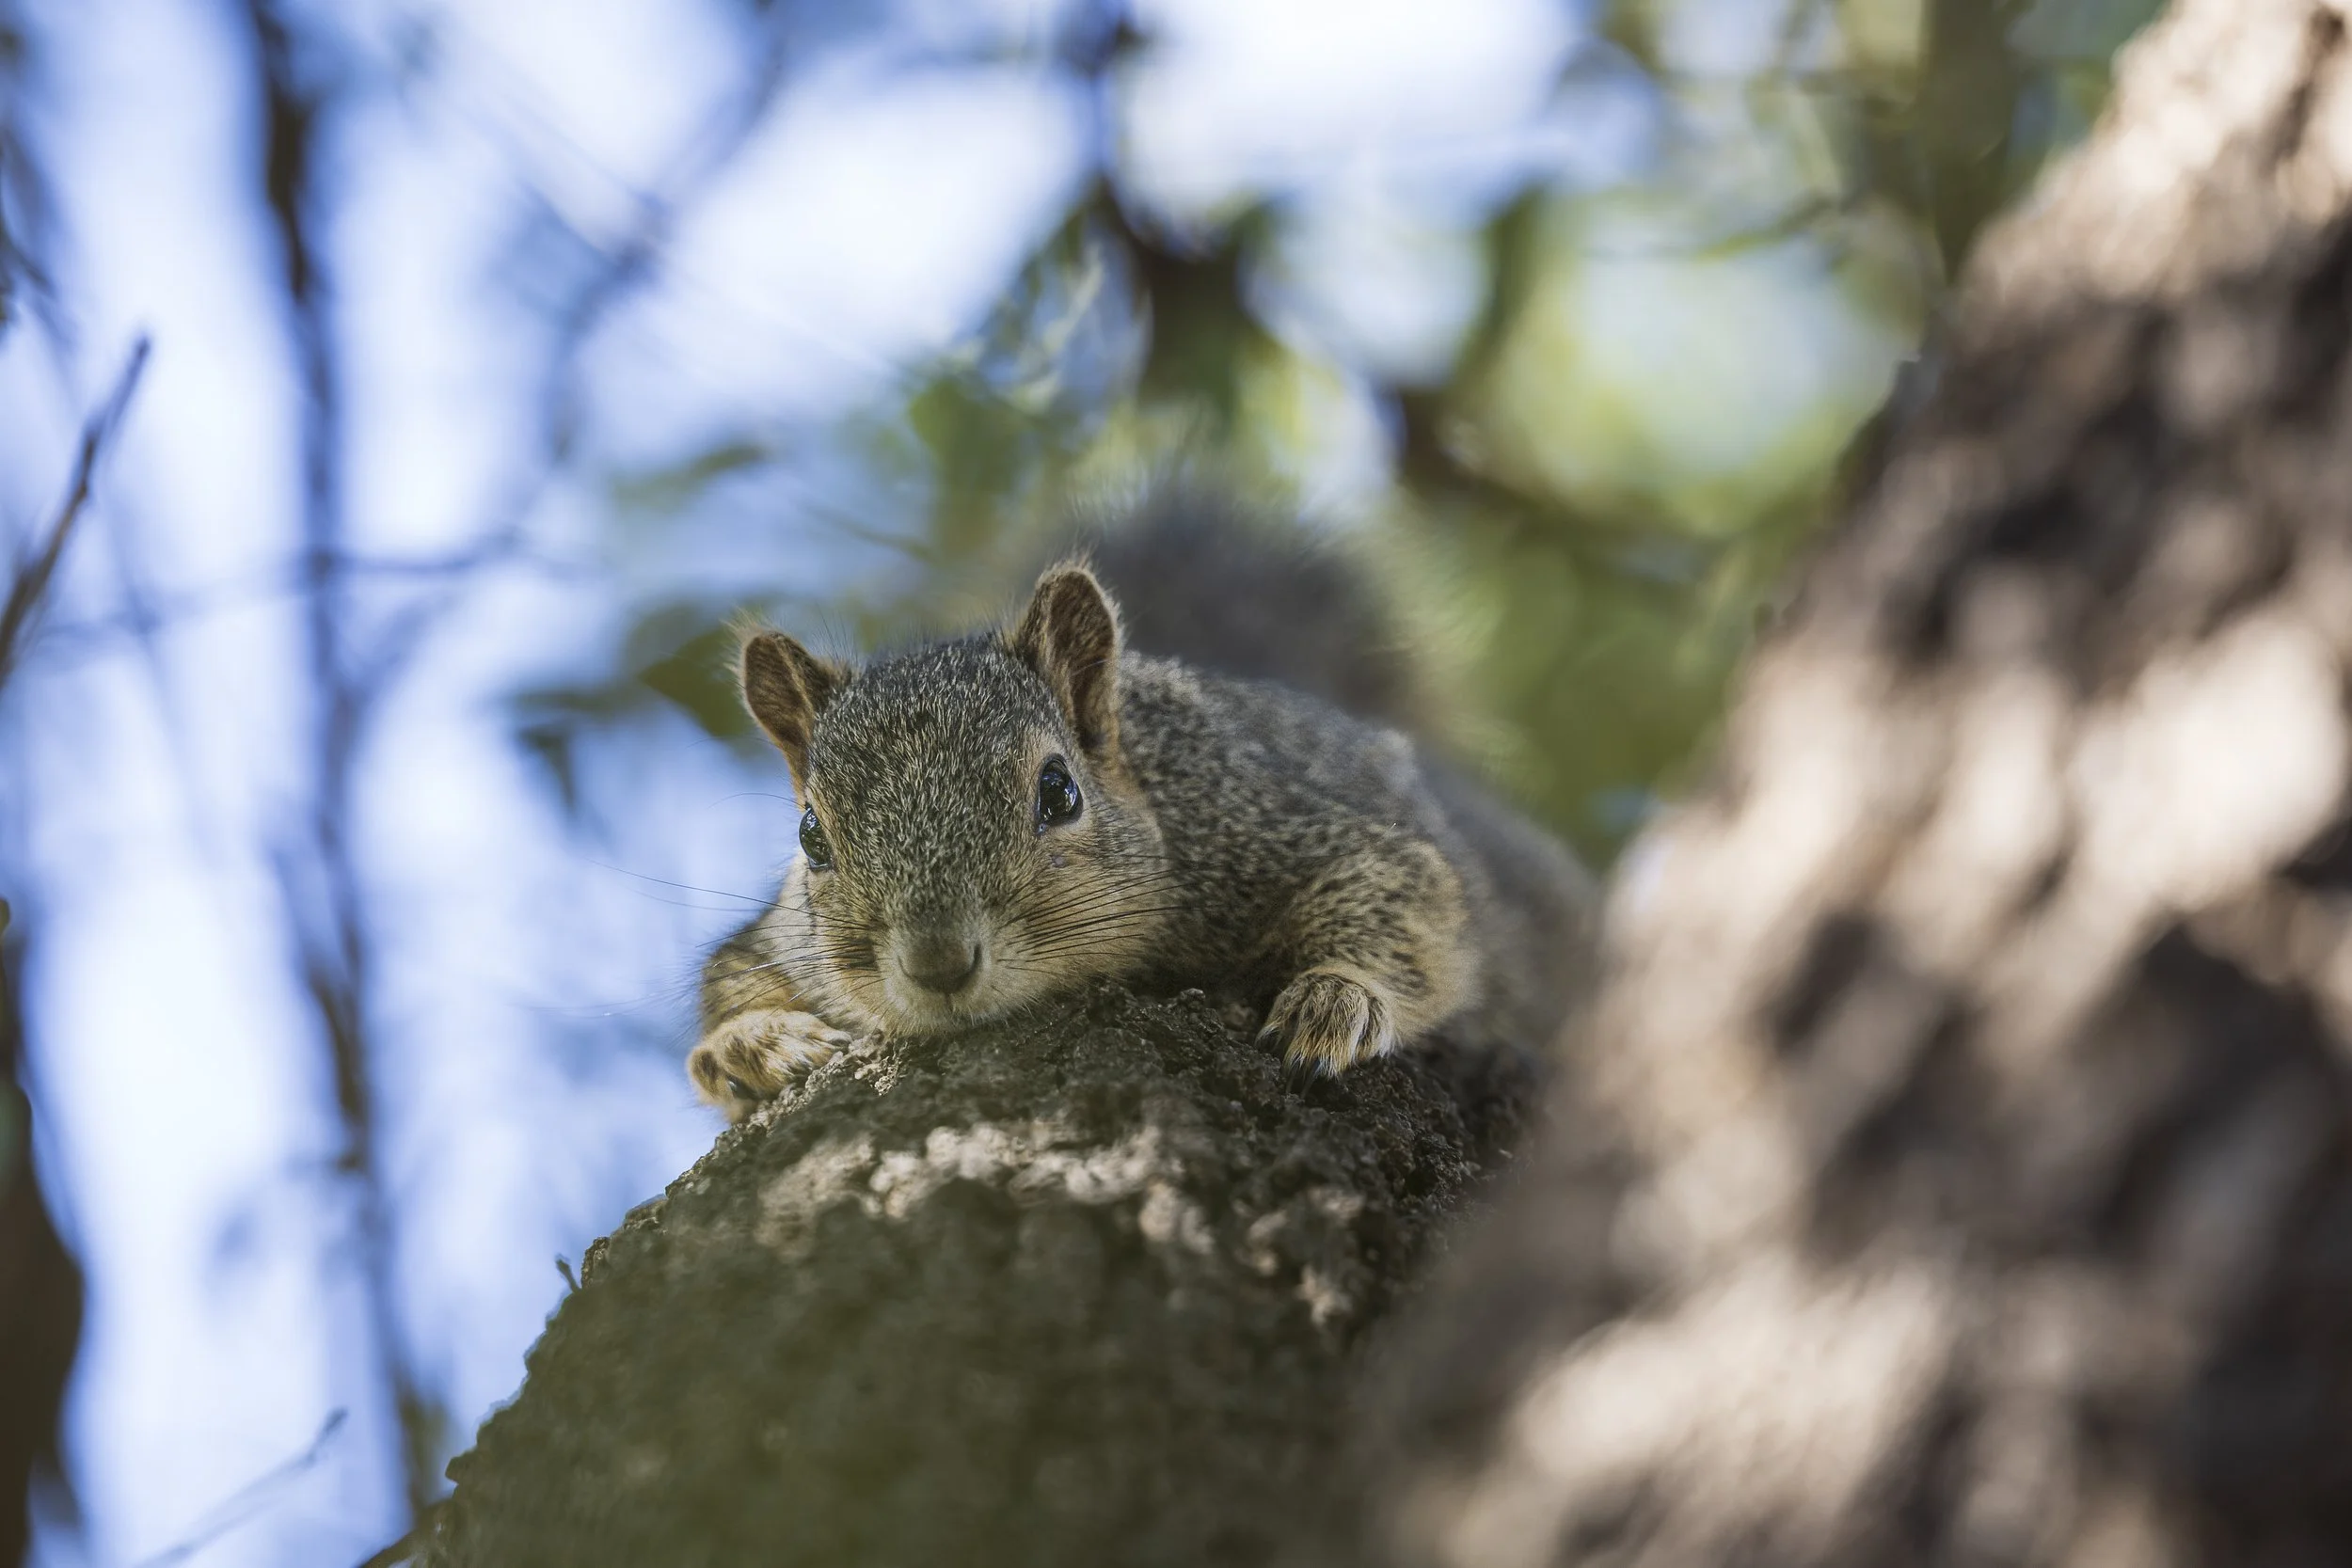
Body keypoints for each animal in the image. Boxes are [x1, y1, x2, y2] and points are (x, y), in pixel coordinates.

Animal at [688, 489, 1594, 1123]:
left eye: (1059, 791)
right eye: (811, 835)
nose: (938, 965)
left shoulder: (1279, 823)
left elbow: (1408, 900)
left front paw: (1334, 999)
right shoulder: (780, 933)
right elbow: (726, 975)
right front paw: (750, 1044)